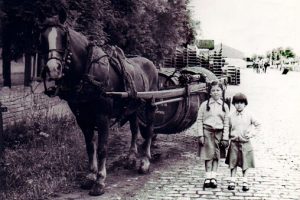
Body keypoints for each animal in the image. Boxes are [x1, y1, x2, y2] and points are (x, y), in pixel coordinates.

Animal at [39, 16, 159, 195]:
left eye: (64, 37)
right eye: (44, 38)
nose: (53, 68)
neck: (89, 74)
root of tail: (150, 63)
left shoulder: (103, 118)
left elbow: (102, 148)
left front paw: (100, 181)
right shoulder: (82, 119)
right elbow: (90, 147)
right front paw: (90, 176)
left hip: (150, 104)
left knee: (149, 130)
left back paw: (145, 161)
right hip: (132, 106)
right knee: (134, 129)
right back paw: (131, 157)